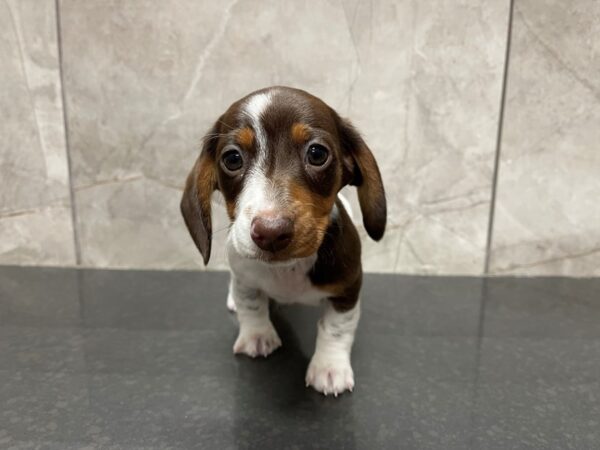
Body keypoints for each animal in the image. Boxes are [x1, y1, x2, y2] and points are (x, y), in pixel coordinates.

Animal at [180, 87, 386, 394]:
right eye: (232, 159)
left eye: (317, 153)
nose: (271, 231)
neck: (287, 269)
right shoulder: (245, 277)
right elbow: (251, 305)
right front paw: (257, 336)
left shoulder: (347, 289)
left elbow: (337, 328)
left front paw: (329, 367)